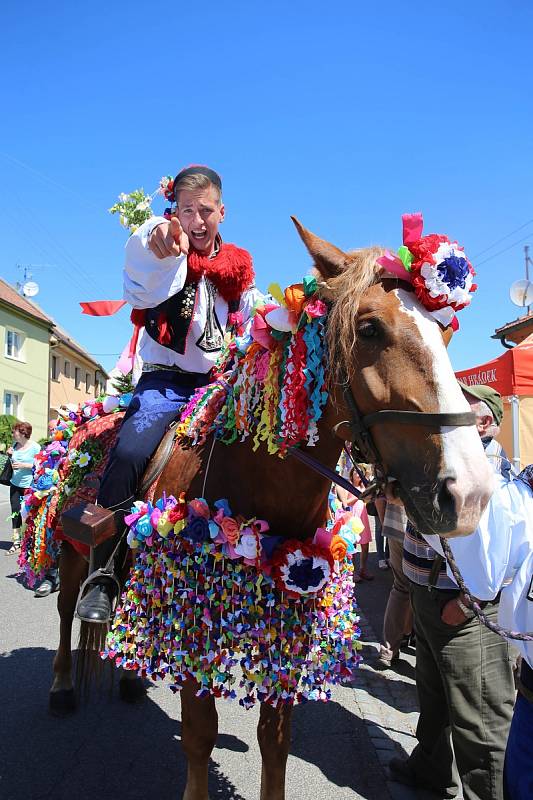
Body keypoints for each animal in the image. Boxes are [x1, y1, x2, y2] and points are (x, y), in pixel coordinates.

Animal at [48, 219, 490, 800]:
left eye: (446, 334)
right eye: (370, 328)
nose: (470, 493)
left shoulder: (289, 617)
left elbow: (275, 744)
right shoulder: (198, 623)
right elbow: (199, 737)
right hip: (74, 552)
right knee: (66, 610)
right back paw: (61, 685)